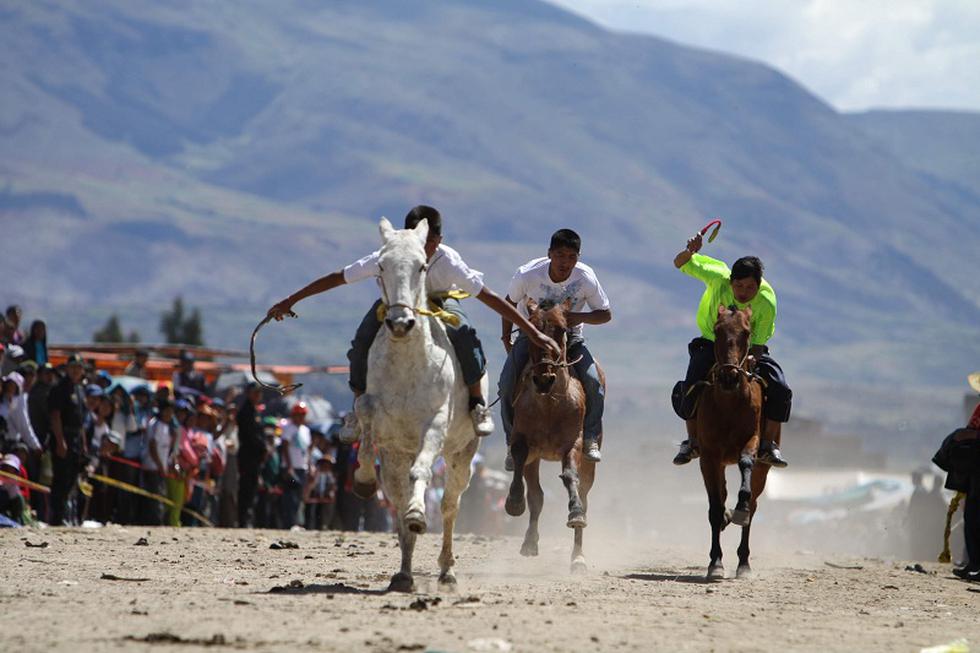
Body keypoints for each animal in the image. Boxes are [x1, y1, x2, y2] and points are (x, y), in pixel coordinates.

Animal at [350, 217, 482, 592]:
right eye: (380, 265)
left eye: (422, 266)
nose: (400, 323)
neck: (408, 363)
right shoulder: (386, 436)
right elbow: (365, 416)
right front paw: (363, 477)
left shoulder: (435, 426)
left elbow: (422, 473)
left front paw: (418, 515)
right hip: (400, 454)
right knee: (397, 497)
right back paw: (405, 573)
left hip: (462, 454)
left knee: (450, 505)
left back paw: (447, 570)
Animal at [504, 299, 602, 573]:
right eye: (531, 329)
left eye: (561, 329)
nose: (544, 379)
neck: (551, 403)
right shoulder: (524, 441)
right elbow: (519, 459)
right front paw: (513, 501)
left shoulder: (573, 443)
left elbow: (570, 476)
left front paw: (575, 512)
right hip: (536, 459)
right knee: (536, 497)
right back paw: (529, 542)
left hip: (589, 464)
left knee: (585, 496)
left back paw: (578, 557)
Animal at [694, 304, 772, 579]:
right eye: (717, 331)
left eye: (747, 332)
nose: (729, 377)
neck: (728, 404)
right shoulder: (709, 456)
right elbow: (715, 509)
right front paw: (715, 564)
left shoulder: (752, 441)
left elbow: (746, 462)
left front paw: (740, 509)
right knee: (721, 495)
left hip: (764, 468)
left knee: (754, 505)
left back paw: (744, 562)